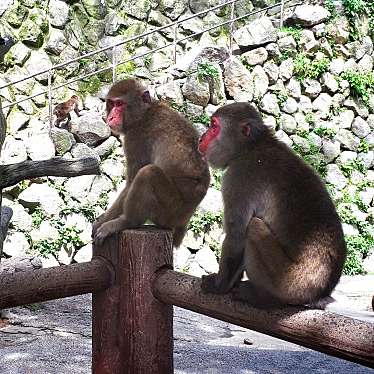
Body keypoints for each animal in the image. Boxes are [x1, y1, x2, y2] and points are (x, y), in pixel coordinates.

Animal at [91, 78, 210, 248]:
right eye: (112, 104)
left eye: (120, 104)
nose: (111, 117)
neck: (144, 113)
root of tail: (183, 222)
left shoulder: (136, 138)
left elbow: (131, 182)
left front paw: (103, 222)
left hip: (169, 211)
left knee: (148, 173)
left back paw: (126, 222)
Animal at [199, 103, 348, 310]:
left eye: (213, 126)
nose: (202, 137)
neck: (251, 147)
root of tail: (319, 294)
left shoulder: (238, 178)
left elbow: (237, 235)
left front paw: (220, 286)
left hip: (289, 283)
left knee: (254, 227)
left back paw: (263, 297)